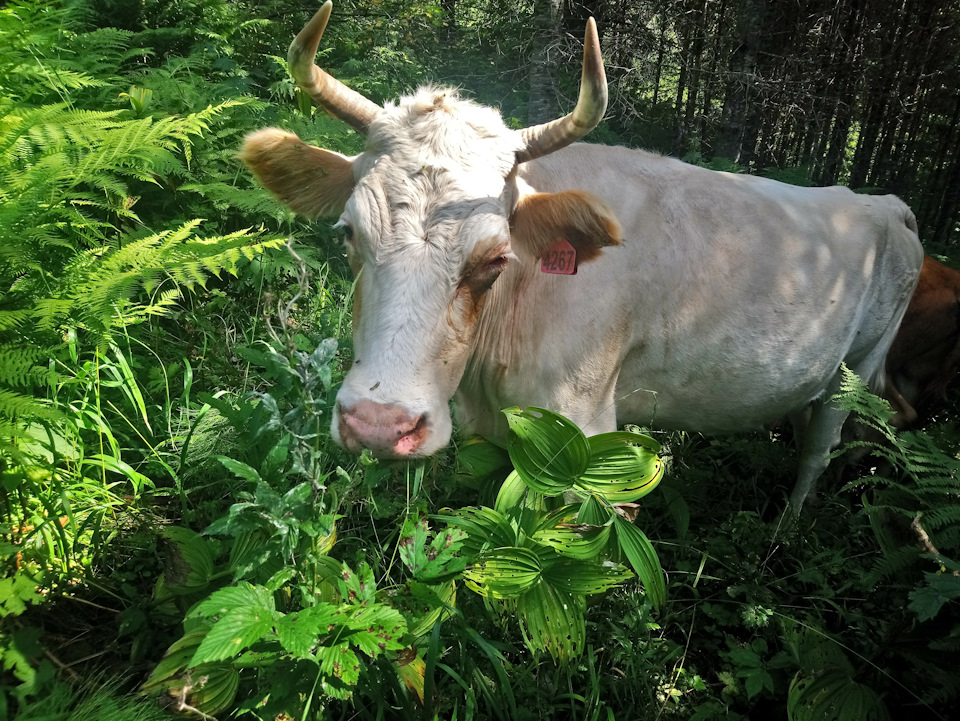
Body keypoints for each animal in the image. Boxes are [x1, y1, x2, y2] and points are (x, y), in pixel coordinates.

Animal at [244, 2, 928, 516]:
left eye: (494, 259)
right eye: (348, 235)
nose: (378, 426)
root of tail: (888, 203)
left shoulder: (587, 427)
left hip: (856, 369)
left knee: (820, 445)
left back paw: (786, 527)